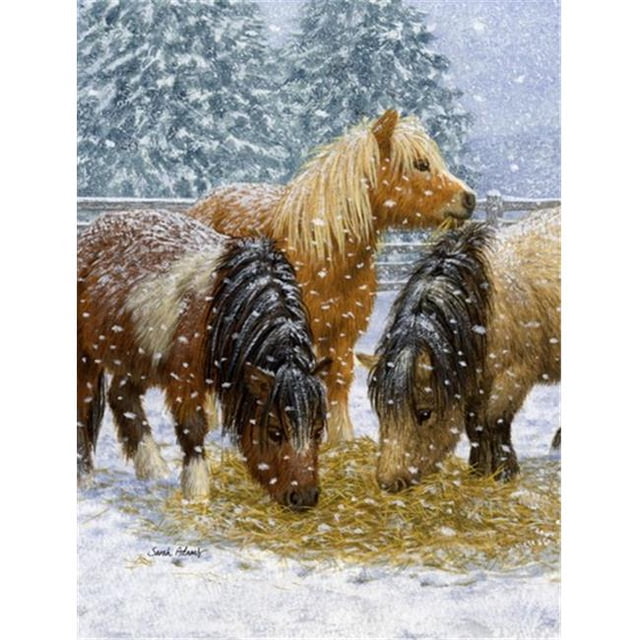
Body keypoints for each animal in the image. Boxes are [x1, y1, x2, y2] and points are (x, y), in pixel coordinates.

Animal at [77, 210, 330, 509]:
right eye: (275, 432)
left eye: (317, 431)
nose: (304, 498)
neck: (222, 303)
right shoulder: (185, 379)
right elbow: (193, 430)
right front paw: (197, 493)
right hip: (86, 358)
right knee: (83, 411)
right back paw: (85, 478)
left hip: (137, 358)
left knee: (122, 398)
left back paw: (153, 471)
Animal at [188, 109, 476, 445]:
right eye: (420, 164)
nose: (469, 198)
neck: (323, 251)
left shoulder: (342, 331)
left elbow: (339, 377)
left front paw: (340, 436)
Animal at [358, 208, 560, 492]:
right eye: (381, 412)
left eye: (424, 413)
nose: (389, 484)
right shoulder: (473, 381)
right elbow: (474, 426)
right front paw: (478, 471)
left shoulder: (513, 377)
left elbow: (495, 422)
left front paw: (505, 473)